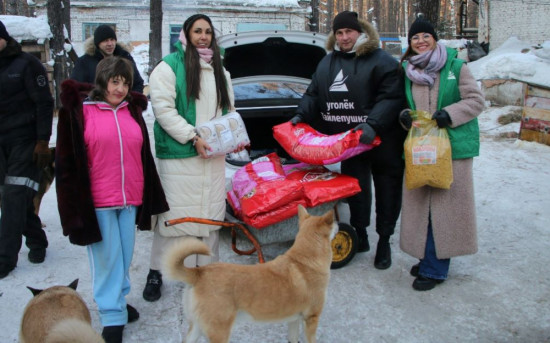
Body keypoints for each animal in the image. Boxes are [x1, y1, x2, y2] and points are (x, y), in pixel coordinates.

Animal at [164, 206, 338, 342]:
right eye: (333, 223)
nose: (338, 223)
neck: (304, 260)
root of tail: (199, 272)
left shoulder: (294, 319)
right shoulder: (311, 319)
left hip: (197, 329)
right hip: (219, 332)